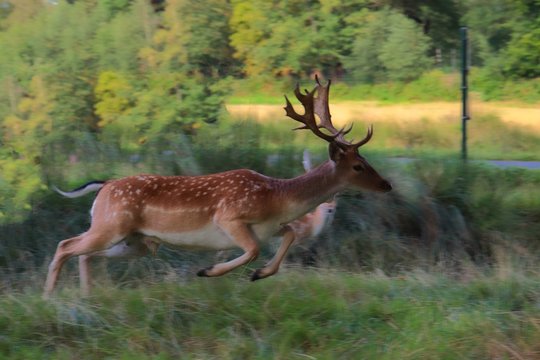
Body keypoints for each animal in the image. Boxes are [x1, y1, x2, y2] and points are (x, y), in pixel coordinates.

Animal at [44, 77, 390, 296]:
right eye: (358, 166)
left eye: (365, 159)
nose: (386, 185)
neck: (277, 198)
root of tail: (104, 186)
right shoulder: (229, 216)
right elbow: (252, 250)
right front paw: (208, 271)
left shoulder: (271, 227)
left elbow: (288, 235)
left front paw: (259, 274)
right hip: (111, 224)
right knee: (65, 245)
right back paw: (49, 297)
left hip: (135, 242)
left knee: (85, 254)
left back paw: (86, 297)